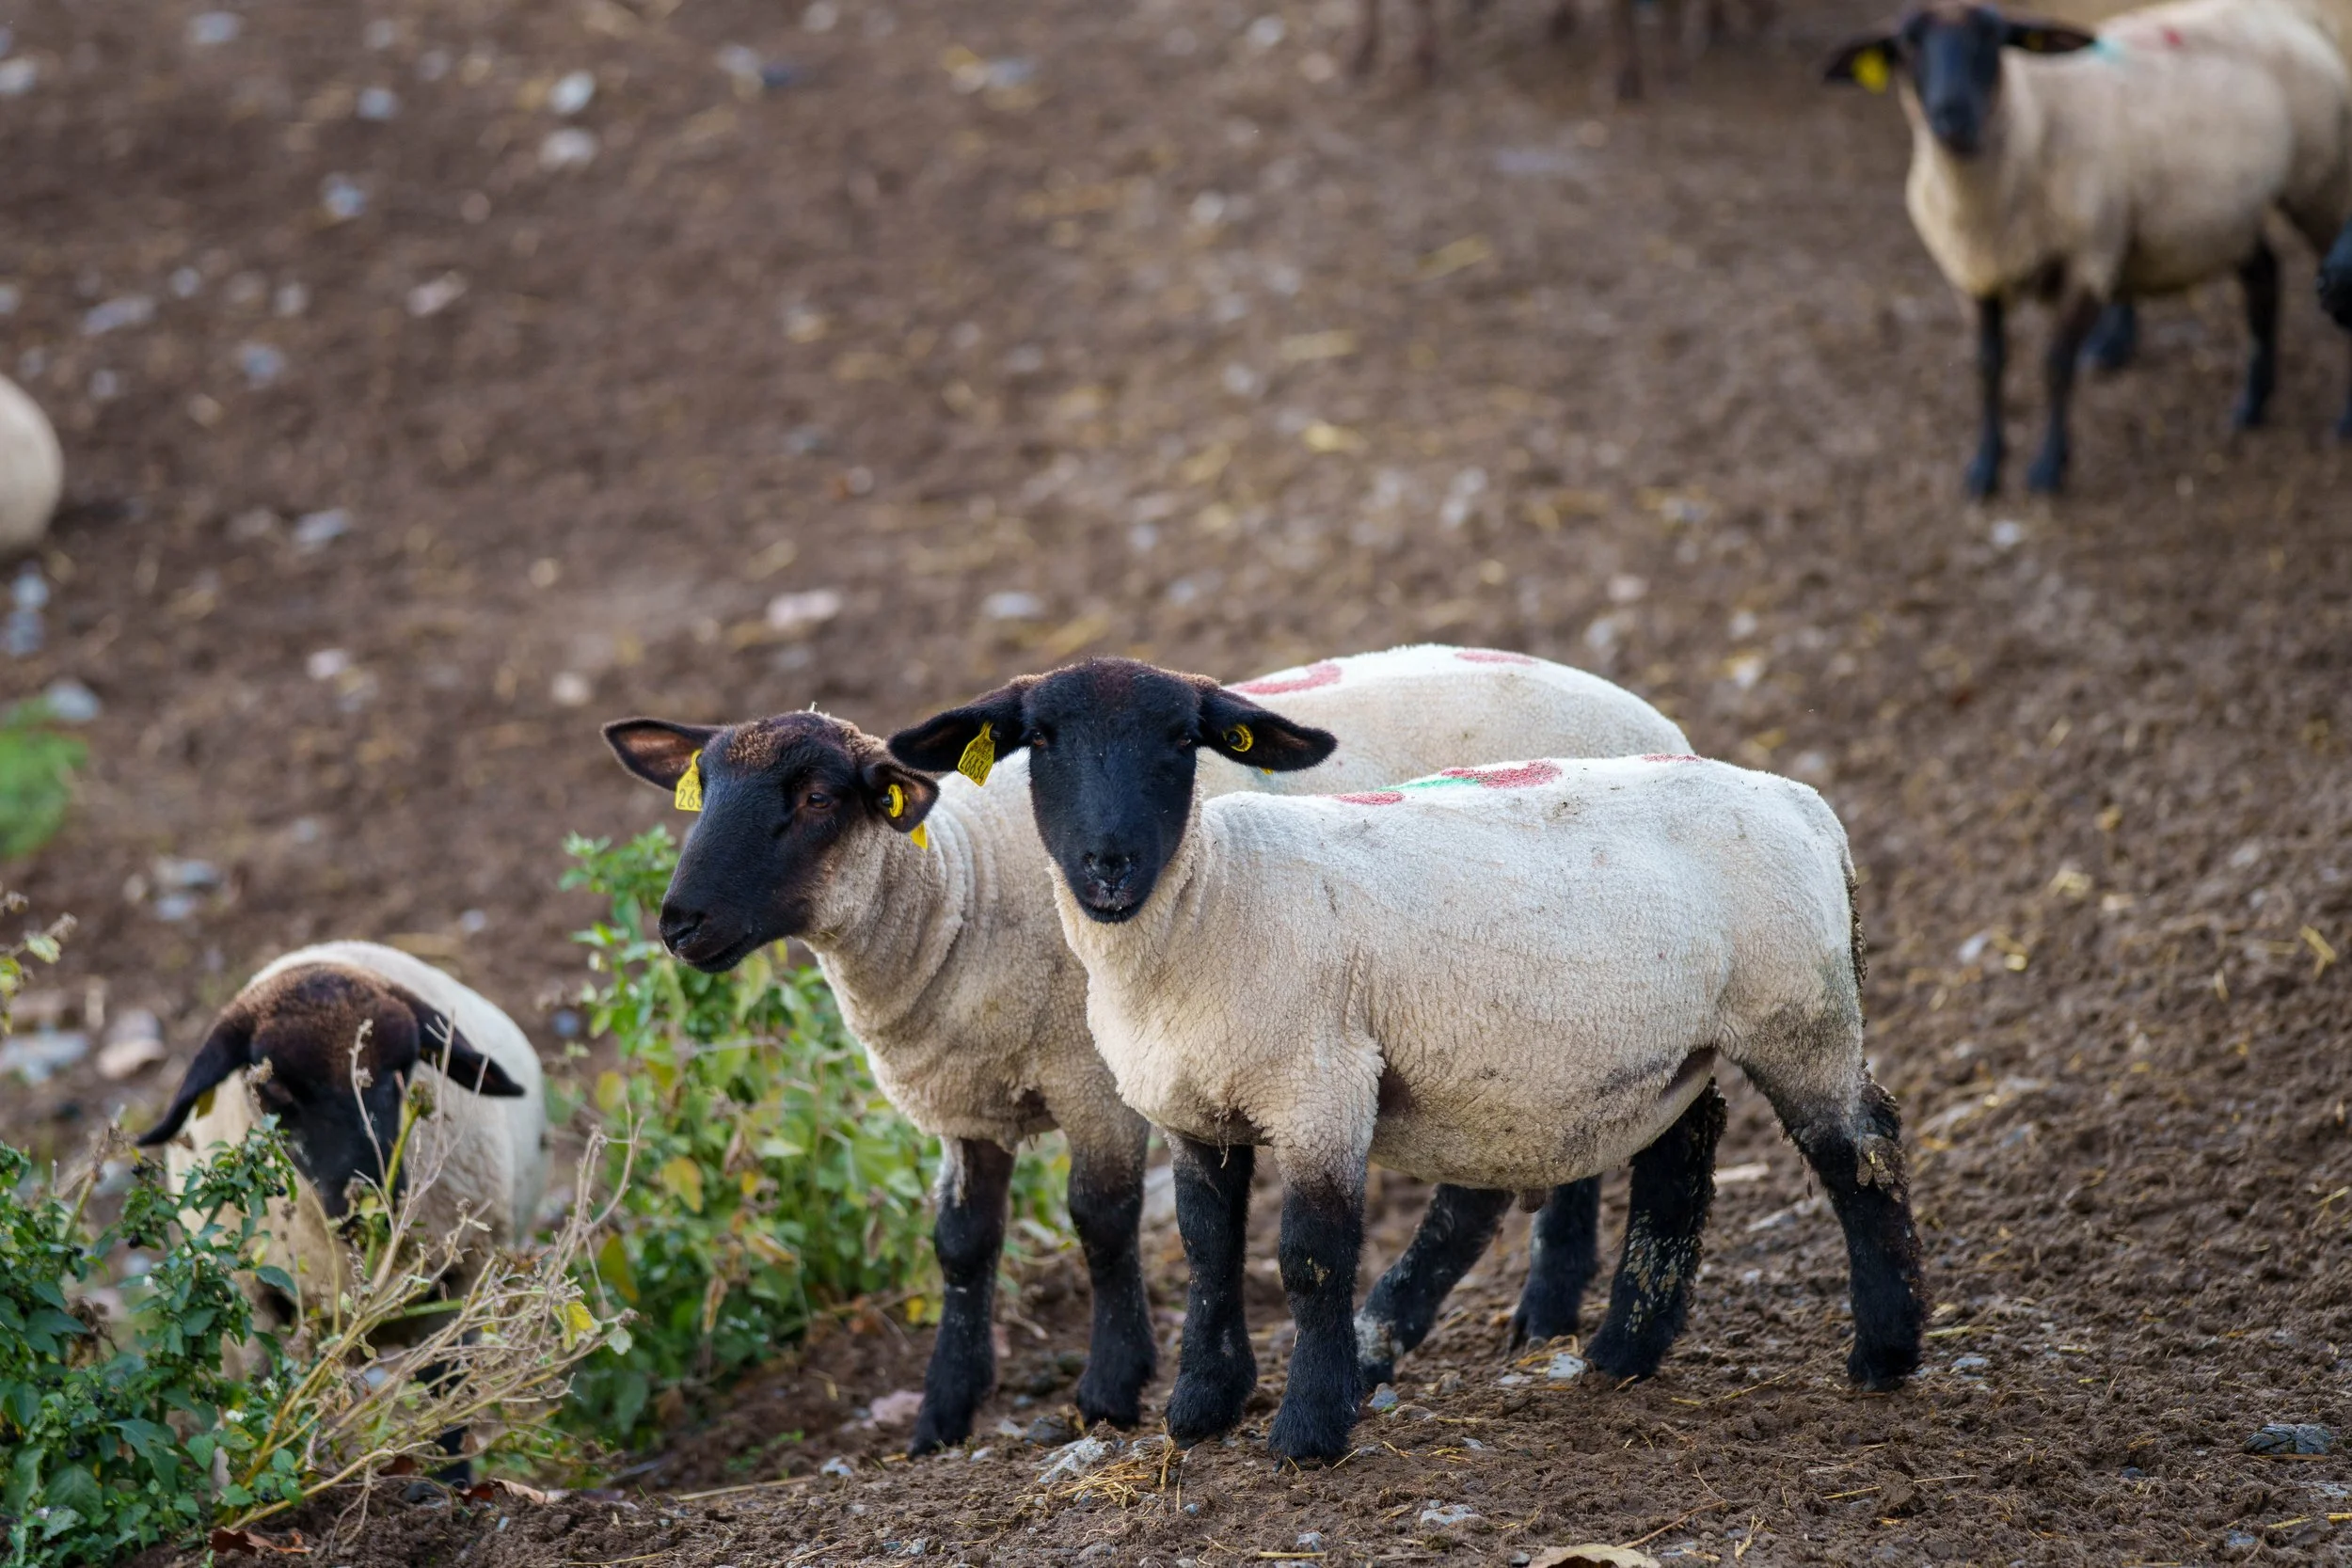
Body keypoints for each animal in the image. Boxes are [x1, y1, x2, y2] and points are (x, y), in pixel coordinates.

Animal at [602, 643, 1694, 1454]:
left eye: (819, 799)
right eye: (702, 791)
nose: (680, 922)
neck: (953, 892)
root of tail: (1656, 719)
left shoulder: (1094, 1078)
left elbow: (1102, 1216)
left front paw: (1112, 1385)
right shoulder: (961, 1104)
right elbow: (961, 1242)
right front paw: (942, 1413)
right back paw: (1538, 1310)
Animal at [889, 659, 1928, 1463]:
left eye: (1182, 739)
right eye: (1042, 739)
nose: (1108, 862)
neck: (1209, 899)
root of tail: (1798, 799)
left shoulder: (1321, 1082)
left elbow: (1309, 1256)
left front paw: (1307, 1430)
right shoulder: (1192, 1106)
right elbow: (1206, 1248)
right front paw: (1200, 1410)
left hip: (1800, 1012)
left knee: (1860, 1153)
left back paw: (1886, 1352)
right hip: (1677, 1042)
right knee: (1681, 1162)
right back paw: (1624, 1351)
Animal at [1825, 2, 2352, 496]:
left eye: (1993, 38)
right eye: (1908, 44)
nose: (1952, 118)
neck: (2030, 120)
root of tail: (2292, 14)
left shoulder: (2089, 261)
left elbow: (2056, 366)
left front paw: (2048, 467)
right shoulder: (1973, 274)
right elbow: (1988, 367)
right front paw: (1985, 468)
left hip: (2321, 186)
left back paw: (2338, 420)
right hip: (2227, 211)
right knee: (2264, 277)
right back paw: (2251, 404)